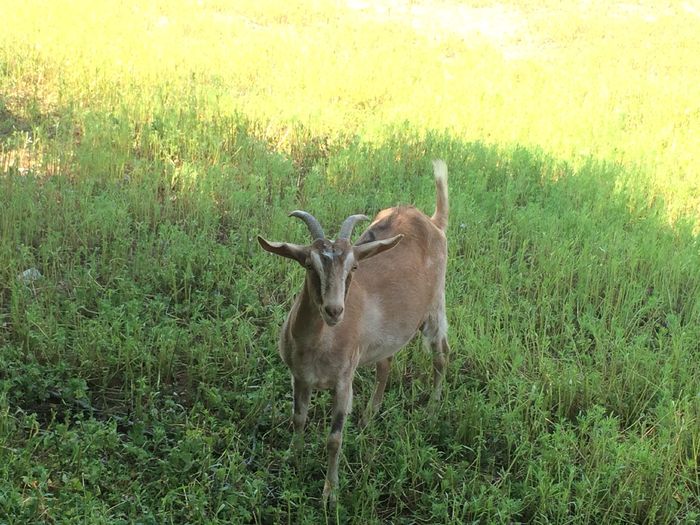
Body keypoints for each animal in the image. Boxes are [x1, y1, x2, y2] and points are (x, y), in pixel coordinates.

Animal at [258, 159, 448, 504]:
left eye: (353, 268)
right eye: (309, 264)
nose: (334, 310)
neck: (317, 345)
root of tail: (431, 220)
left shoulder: (343, 380)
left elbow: (334, 438)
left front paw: (329, 493)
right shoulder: (299, 377)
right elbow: (298, 419)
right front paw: (293, 458)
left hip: (435, 306)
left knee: (442, 355)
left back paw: (432, 409)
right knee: (387, 362)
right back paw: (370, 414)